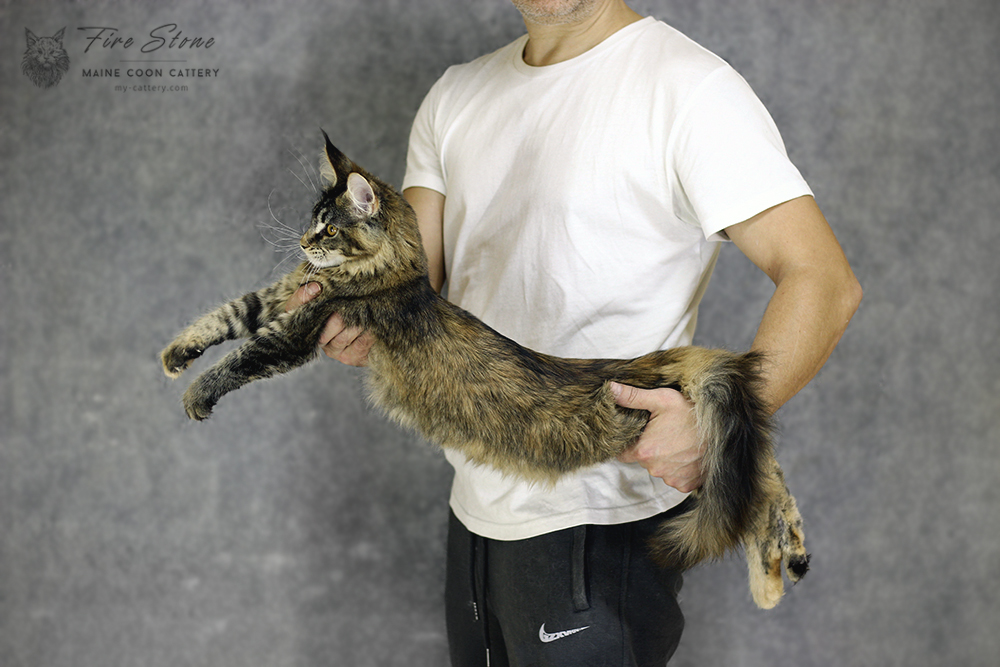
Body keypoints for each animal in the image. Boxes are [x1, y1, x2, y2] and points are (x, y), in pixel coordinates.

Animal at [161, 132, 810, 608]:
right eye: (312, 222)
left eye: (330, 228)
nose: (300, 240)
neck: (389, 274)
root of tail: (648, 359)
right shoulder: (283, 299)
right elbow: (226, 314)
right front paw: (175, 357)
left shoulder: (301, 328)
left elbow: (242, 356)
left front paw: (197, 394)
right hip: (709, 442)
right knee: (765, 472)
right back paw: (789, 563)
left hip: (677, 442)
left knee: (750, 485)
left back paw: (772, 578)